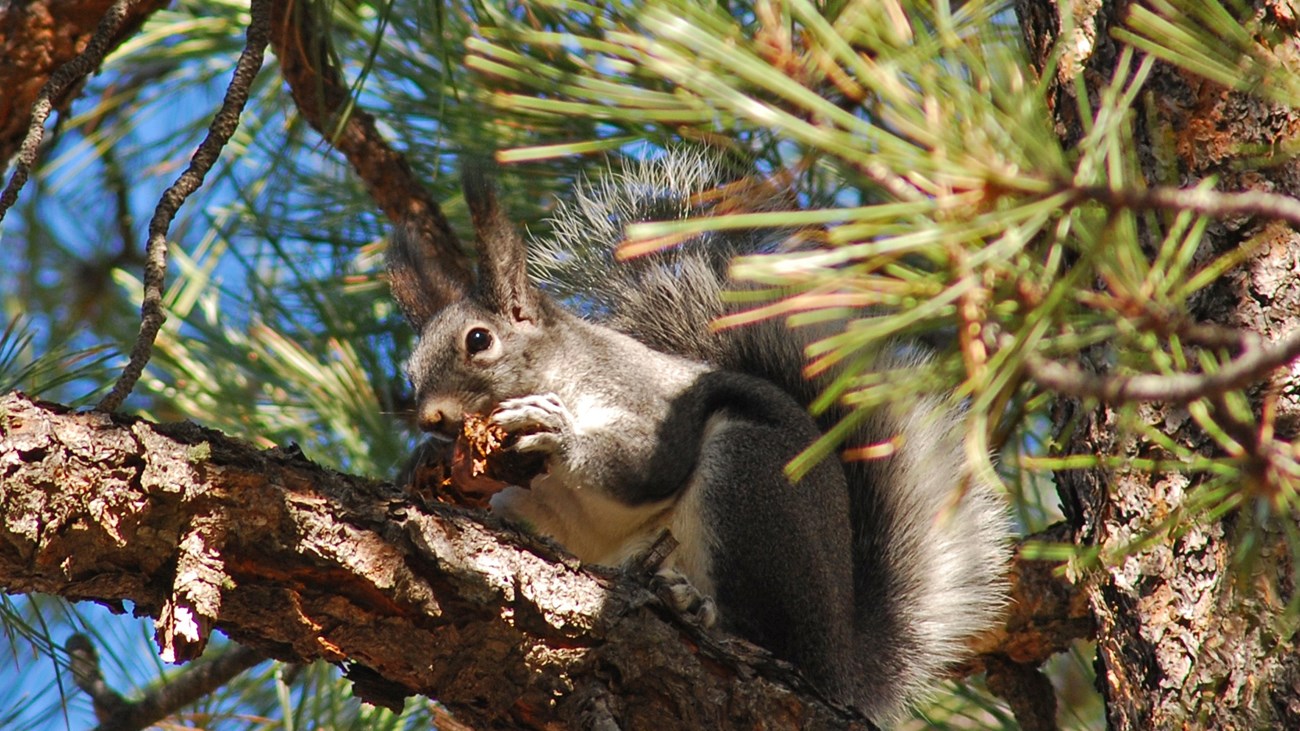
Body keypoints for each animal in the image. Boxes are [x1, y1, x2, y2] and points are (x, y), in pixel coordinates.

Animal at [387, 150, 1013, 717]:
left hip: (749, 482)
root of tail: (838, 664)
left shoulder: (646, 400)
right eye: (411, 370)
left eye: (478, 341)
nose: (431, 418)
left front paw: (555, 432)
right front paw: (424, 462)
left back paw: (697, 609)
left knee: (760, 628)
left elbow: (644, 466)